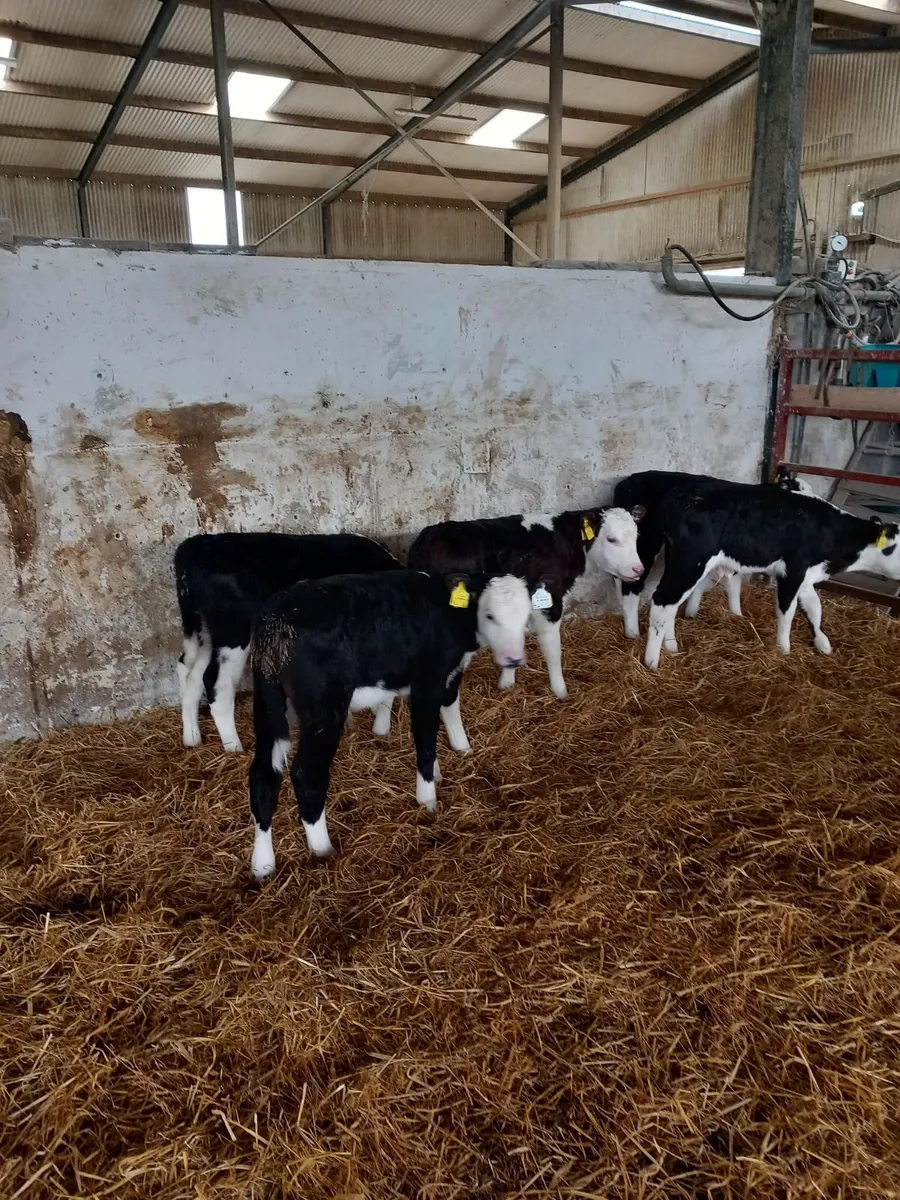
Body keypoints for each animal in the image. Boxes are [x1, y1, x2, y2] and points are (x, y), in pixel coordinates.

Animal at [174, 532, 401, 752]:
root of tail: (195, 545)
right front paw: (381, 728)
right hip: (233, 631)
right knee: (216, 682)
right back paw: (234, 747)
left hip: (202, 630)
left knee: (189, 671)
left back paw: (192, 737)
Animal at [247, 569, 533, 876]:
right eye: (489, 615)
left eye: (527, 615)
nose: (514, 659)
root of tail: (278, 615)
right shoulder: (427, 683)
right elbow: (426, 739)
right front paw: (428, 799)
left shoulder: (446, 674)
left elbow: (447, 707)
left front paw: (456, 754)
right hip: (324, 710)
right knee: (306, 774)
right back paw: (323, 849)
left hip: (267, 702)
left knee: (263, 773)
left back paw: (263, 864)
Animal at [406, 506, 643, 704]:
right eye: (611, 539)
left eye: (636, 536)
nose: (638, 569)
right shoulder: (549, 601)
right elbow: (552, 648)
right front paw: (560, 691)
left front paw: (507, 682)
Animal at [613, 470, 817, 638]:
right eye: (799, 491)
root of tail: (628, 481)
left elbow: (726, 583)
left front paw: (730, 613)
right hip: (646, 542)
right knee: (632, 586)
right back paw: (633, 632)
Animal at [638, 480, 900, 670]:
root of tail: (680, 494)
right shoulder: (792, 572)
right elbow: (787, 613)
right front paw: (784, 650)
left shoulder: (807, 576)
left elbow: (815, 607)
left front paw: (822, 643)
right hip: (691, 562)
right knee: (663, 601)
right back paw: (652, 662)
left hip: (679, 562)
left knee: (671, 605)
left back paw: (671, 647)